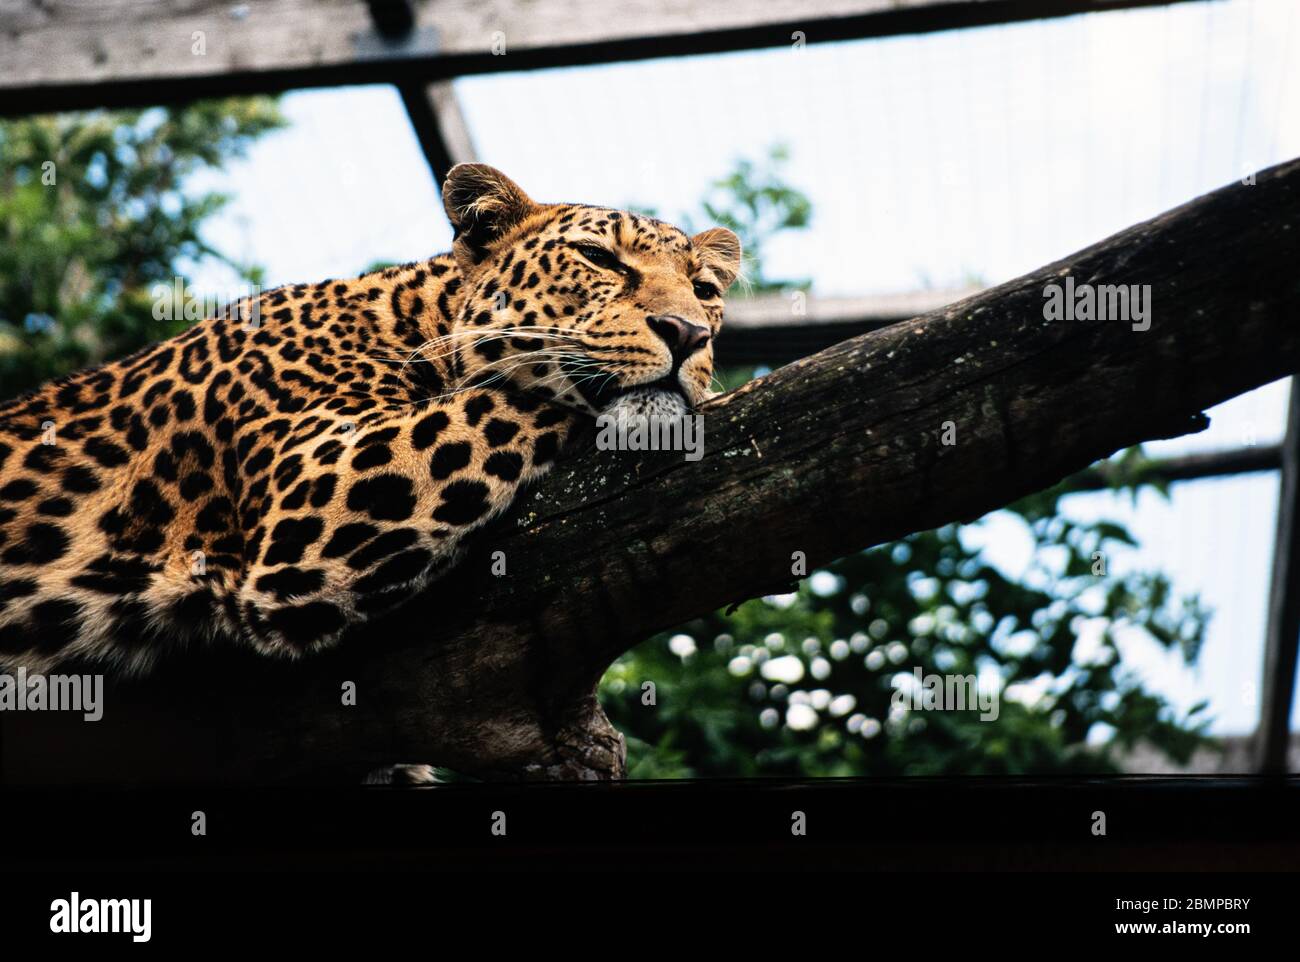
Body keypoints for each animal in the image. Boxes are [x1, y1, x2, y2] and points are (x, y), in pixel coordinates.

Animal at [0, 164, 741, 679]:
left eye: (706, 291)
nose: (688, 334)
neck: (417, 323)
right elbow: (521, 394)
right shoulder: (316, 491)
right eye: (599, 259)